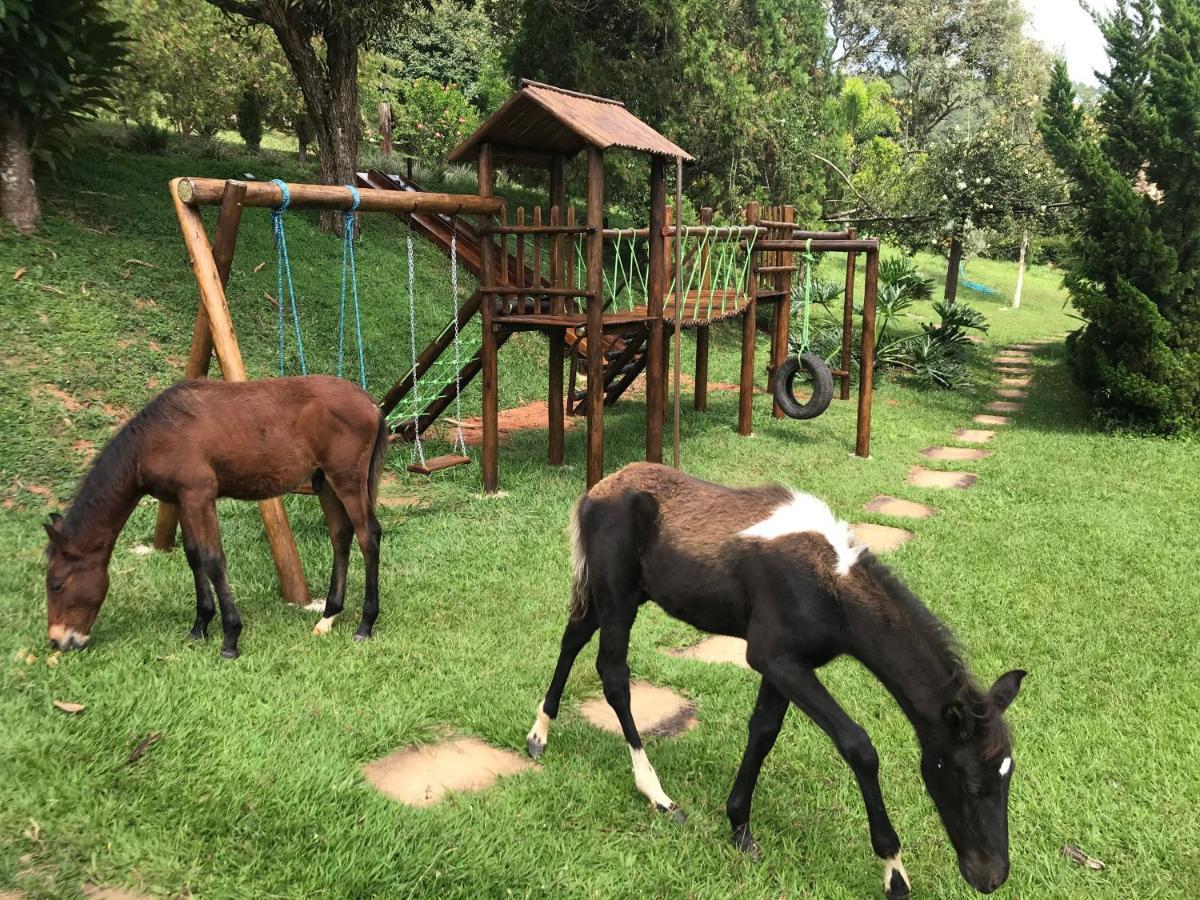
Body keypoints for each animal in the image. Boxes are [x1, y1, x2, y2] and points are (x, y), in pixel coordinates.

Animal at [42, 376, 386, 657]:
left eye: (56, 584)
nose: (57, 641)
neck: (156, 437)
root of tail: (370, 402)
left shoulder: (200, 497)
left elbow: (213, 560)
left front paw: (230, 638)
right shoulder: (182, 500)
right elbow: (194, 556)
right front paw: (200, 626)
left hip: (347, 481)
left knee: (368, 536)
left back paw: (365, 624)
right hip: (324, 483)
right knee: (340, 536)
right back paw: (328, 617)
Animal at [525, 468, 1022, 897]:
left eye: (1008, 776)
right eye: (971, 784)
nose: (992, 876)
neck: (832, 584)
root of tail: (598, 490)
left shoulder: (783, 665)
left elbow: (763, 732)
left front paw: (739, 827)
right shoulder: (774, 658)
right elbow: (858, 745)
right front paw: (894, 871)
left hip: (618, 595)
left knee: (572, 636)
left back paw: (539, 735)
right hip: (619, 596)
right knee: (613, 676)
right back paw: (656, 792)